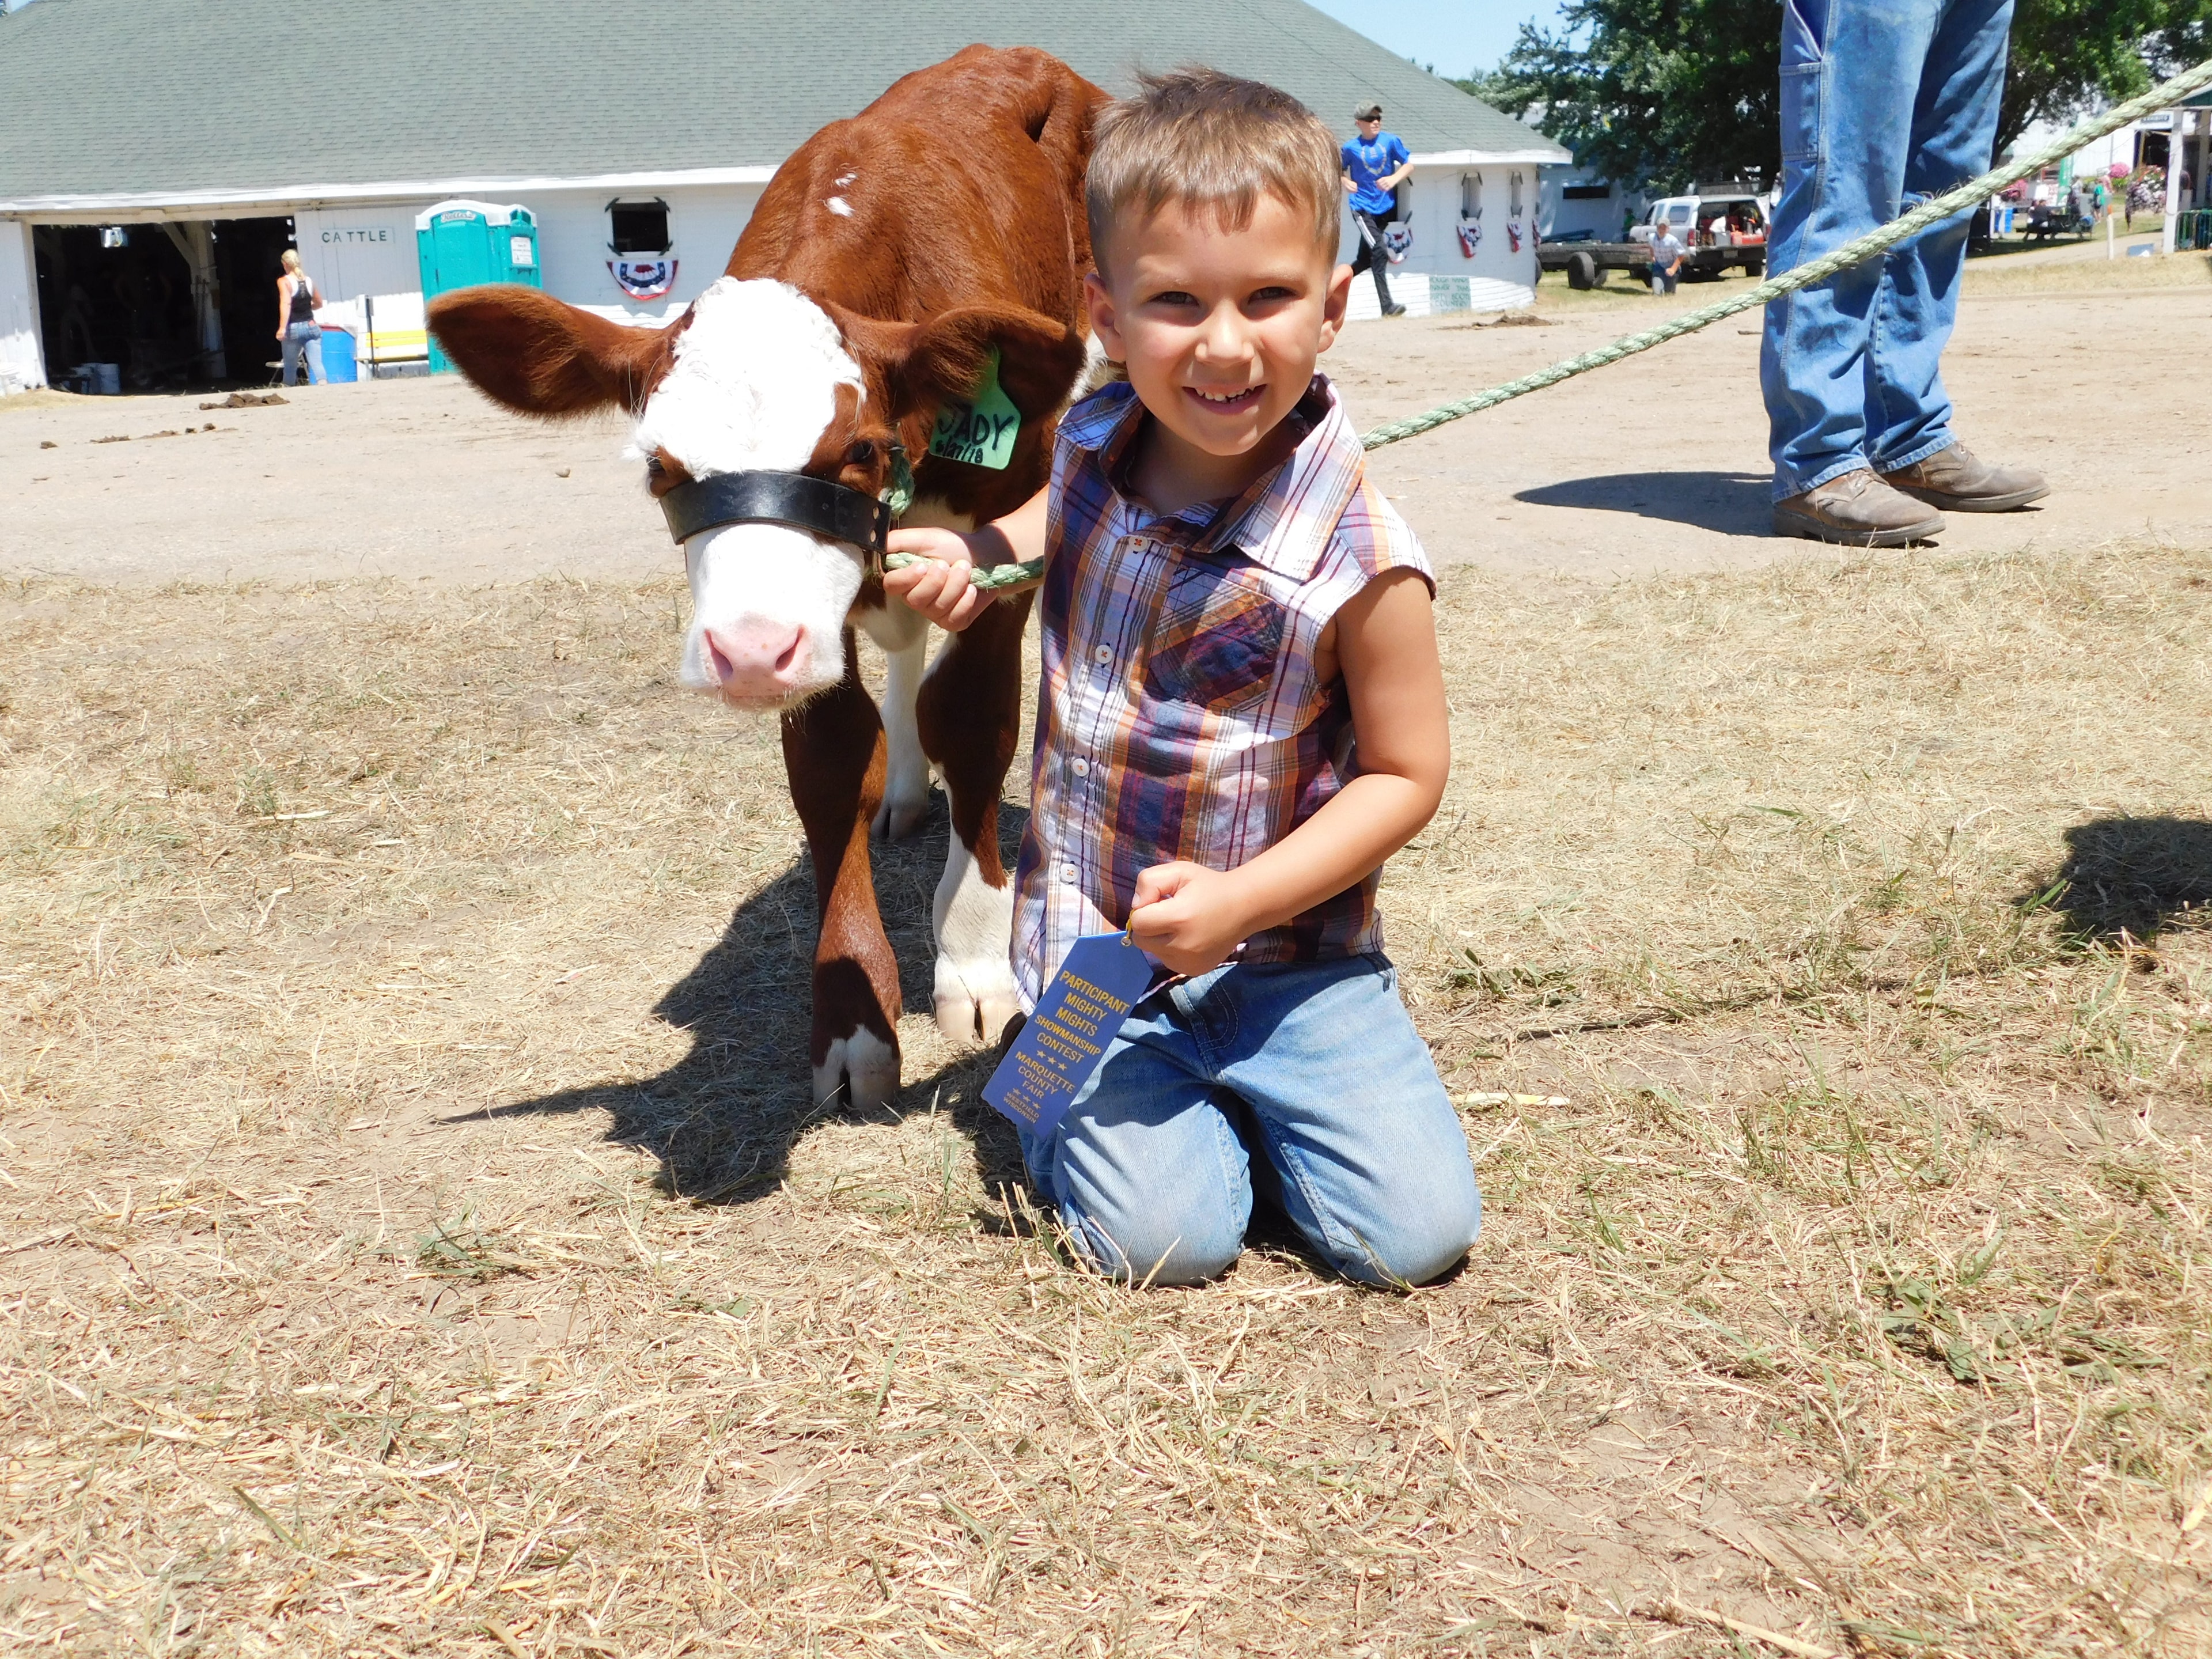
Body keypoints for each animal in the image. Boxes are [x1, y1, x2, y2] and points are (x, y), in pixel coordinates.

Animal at [427, 47, 1109, 1109]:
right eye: (660, 468)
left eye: (860, 450)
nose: (746, 652)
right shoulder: (809, 637)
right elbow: (833, 765)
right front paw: (853, 1016)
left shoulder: (1011, 528)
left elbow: (975, 722)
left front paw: (974, 964)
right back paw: (908, 794)